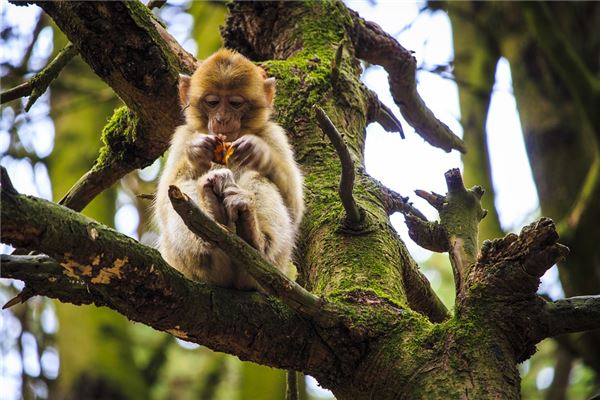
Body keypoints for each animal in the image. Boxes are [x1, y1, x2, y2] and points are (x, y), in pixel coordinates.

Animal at [155, 48, 304, 290]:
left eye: (235, 103)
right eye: (213, 102)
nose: (222, 118)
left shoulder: (274, 133)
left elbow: (295, 207)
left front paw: (258, 152)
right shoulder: (183, 135)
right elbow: (164, 196)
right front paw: (197, 152)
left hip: (277, 263)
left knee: (258, 178)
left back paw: (256, 239)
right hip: (181, 261)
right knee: (182, 189)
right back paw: (208, 224)